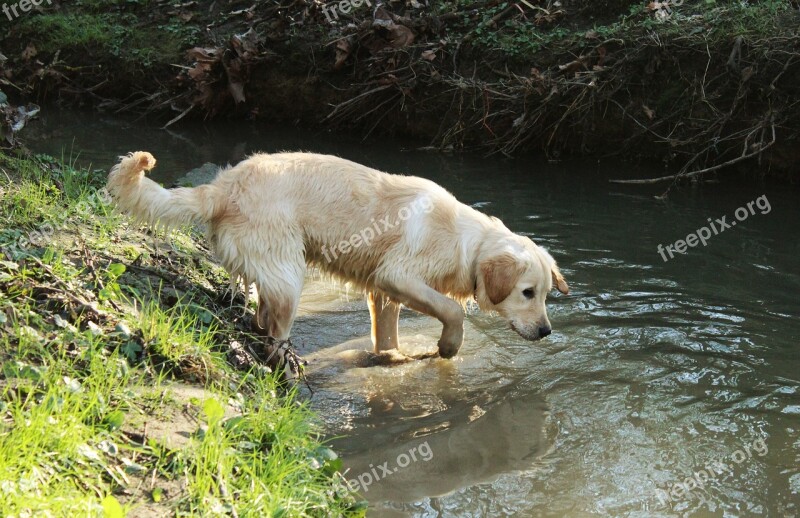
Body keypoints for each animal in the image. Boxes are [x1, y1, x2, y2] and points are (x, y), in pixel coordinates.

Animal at [106, 152, 568, 366]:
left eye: (547, 294)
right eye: (527, 293)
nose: (547, 331)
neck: (465, 242)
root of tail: (221, 186)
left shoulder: (383, 293)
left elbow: (388, 340)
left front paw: (392, 360)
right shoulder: (398, 274)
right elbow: (452, 310)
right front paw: (448, 346)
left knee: (260, 319)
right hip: (289, 275)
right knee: (274, 333)